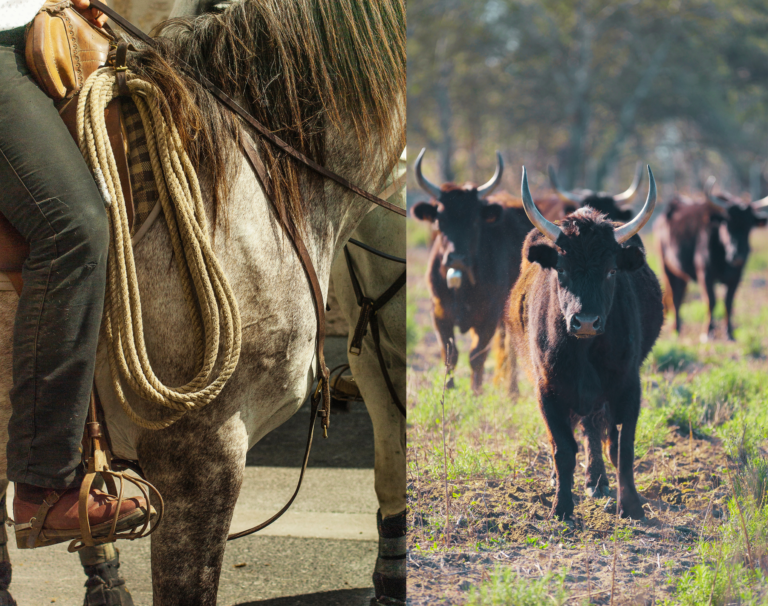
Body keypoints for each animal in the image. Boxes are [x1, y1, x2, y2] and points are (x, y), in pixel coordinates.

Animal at [412, 148, 532, 394]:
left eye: (475, 220)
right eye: (440, 220)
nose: (456, 258)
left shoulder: (488, 317)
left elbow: (477, 355)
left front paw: (476, 392)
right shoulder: (439, 314)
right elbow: (450, 354)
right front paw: (448, 388)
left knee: (510, 349)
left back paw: (512, 392)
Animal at [508, 167, 664, 524]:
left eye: (611, 271)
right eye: (562, 269)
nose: (587, 322)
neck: (584, 352)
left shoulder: (627, 387)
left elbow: (622, 446)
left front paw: (630, 506)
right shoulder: (547, 390)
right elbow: (563, 448)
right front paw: (562, 507)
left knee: (595, 430)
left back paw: (597, 480)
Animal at [656, 178, 768, 344]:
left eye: (749, 226)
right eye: (727, 223)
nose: (738, 255)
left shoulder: (736, 277)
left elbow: (728, 302)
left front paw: (729, 333)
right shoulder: (705, 275)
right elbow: (711, 301)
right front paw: (708, 332)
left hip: (682, 274)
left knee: (680, 295)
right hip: (667, 267)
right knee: (676, 298)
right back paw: (676, 329)